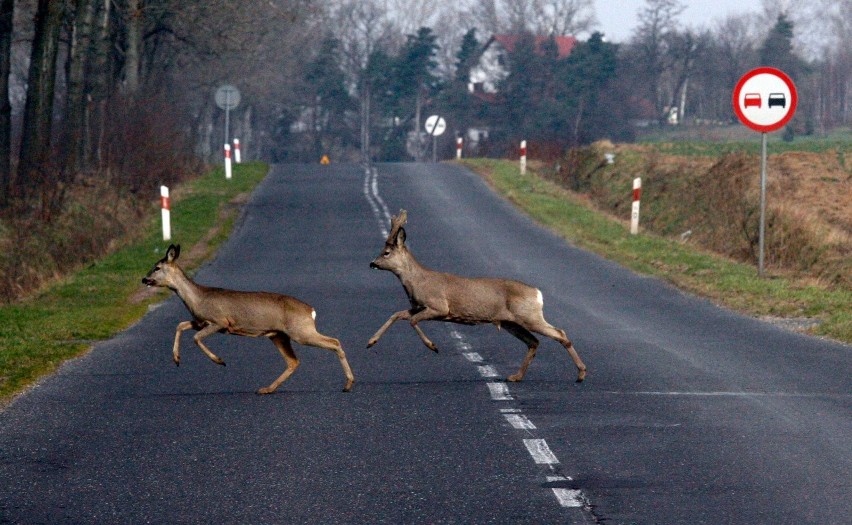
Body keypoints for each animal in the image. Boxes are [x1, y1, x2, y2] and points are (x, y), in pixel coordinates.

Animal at [141, 245, 354, 392]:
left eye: (157, 267)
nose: (144, 279)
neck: (198, 299)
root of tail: (311, 310)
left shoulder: (220, 321)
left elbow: (196, 338)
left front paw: (220, 361)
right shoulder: (200, 322)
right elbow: (180, 325)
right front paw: (176, 359)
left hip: (300, 331)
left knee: (334, 342)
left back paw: (348, 384)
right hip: (279, 335)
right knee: (293, 361)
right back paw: (266, 389)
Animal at [370, 208, 588, 380]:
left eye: (386, 252)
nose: (372, 263)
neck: (417, 281)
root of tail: (537, 293)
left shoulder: (439, 306)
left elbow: (412, 321)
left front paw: (433, 346)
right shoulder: (417, 306)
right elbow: (397, 314)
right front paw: (371, 342)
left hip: (529, 315)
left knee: (560, 333)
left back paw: (581, 373)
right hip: (511, 322)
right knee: (534, 341)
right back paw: (515, 377)